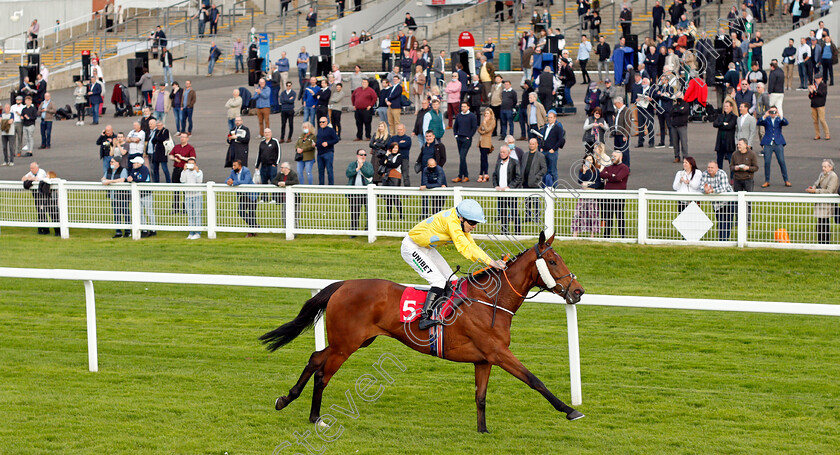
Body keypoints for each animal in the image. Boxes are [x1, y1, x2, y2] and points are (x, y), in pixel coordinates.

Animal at [260, 233, 584, 432]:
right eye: (553, 261)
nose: (578, 291)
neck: (491, 301)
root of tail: (344, 284)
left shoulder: (484, 359)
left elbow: (480, 396)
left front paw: (482, 430)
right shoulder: (498, 353)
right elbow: (534, 380)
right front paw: (570, 410)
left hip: (355, 341)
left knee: (315, 358)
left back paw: (287, 400)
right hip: (346, 344)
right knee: (322, 373)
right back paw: (315, 417)